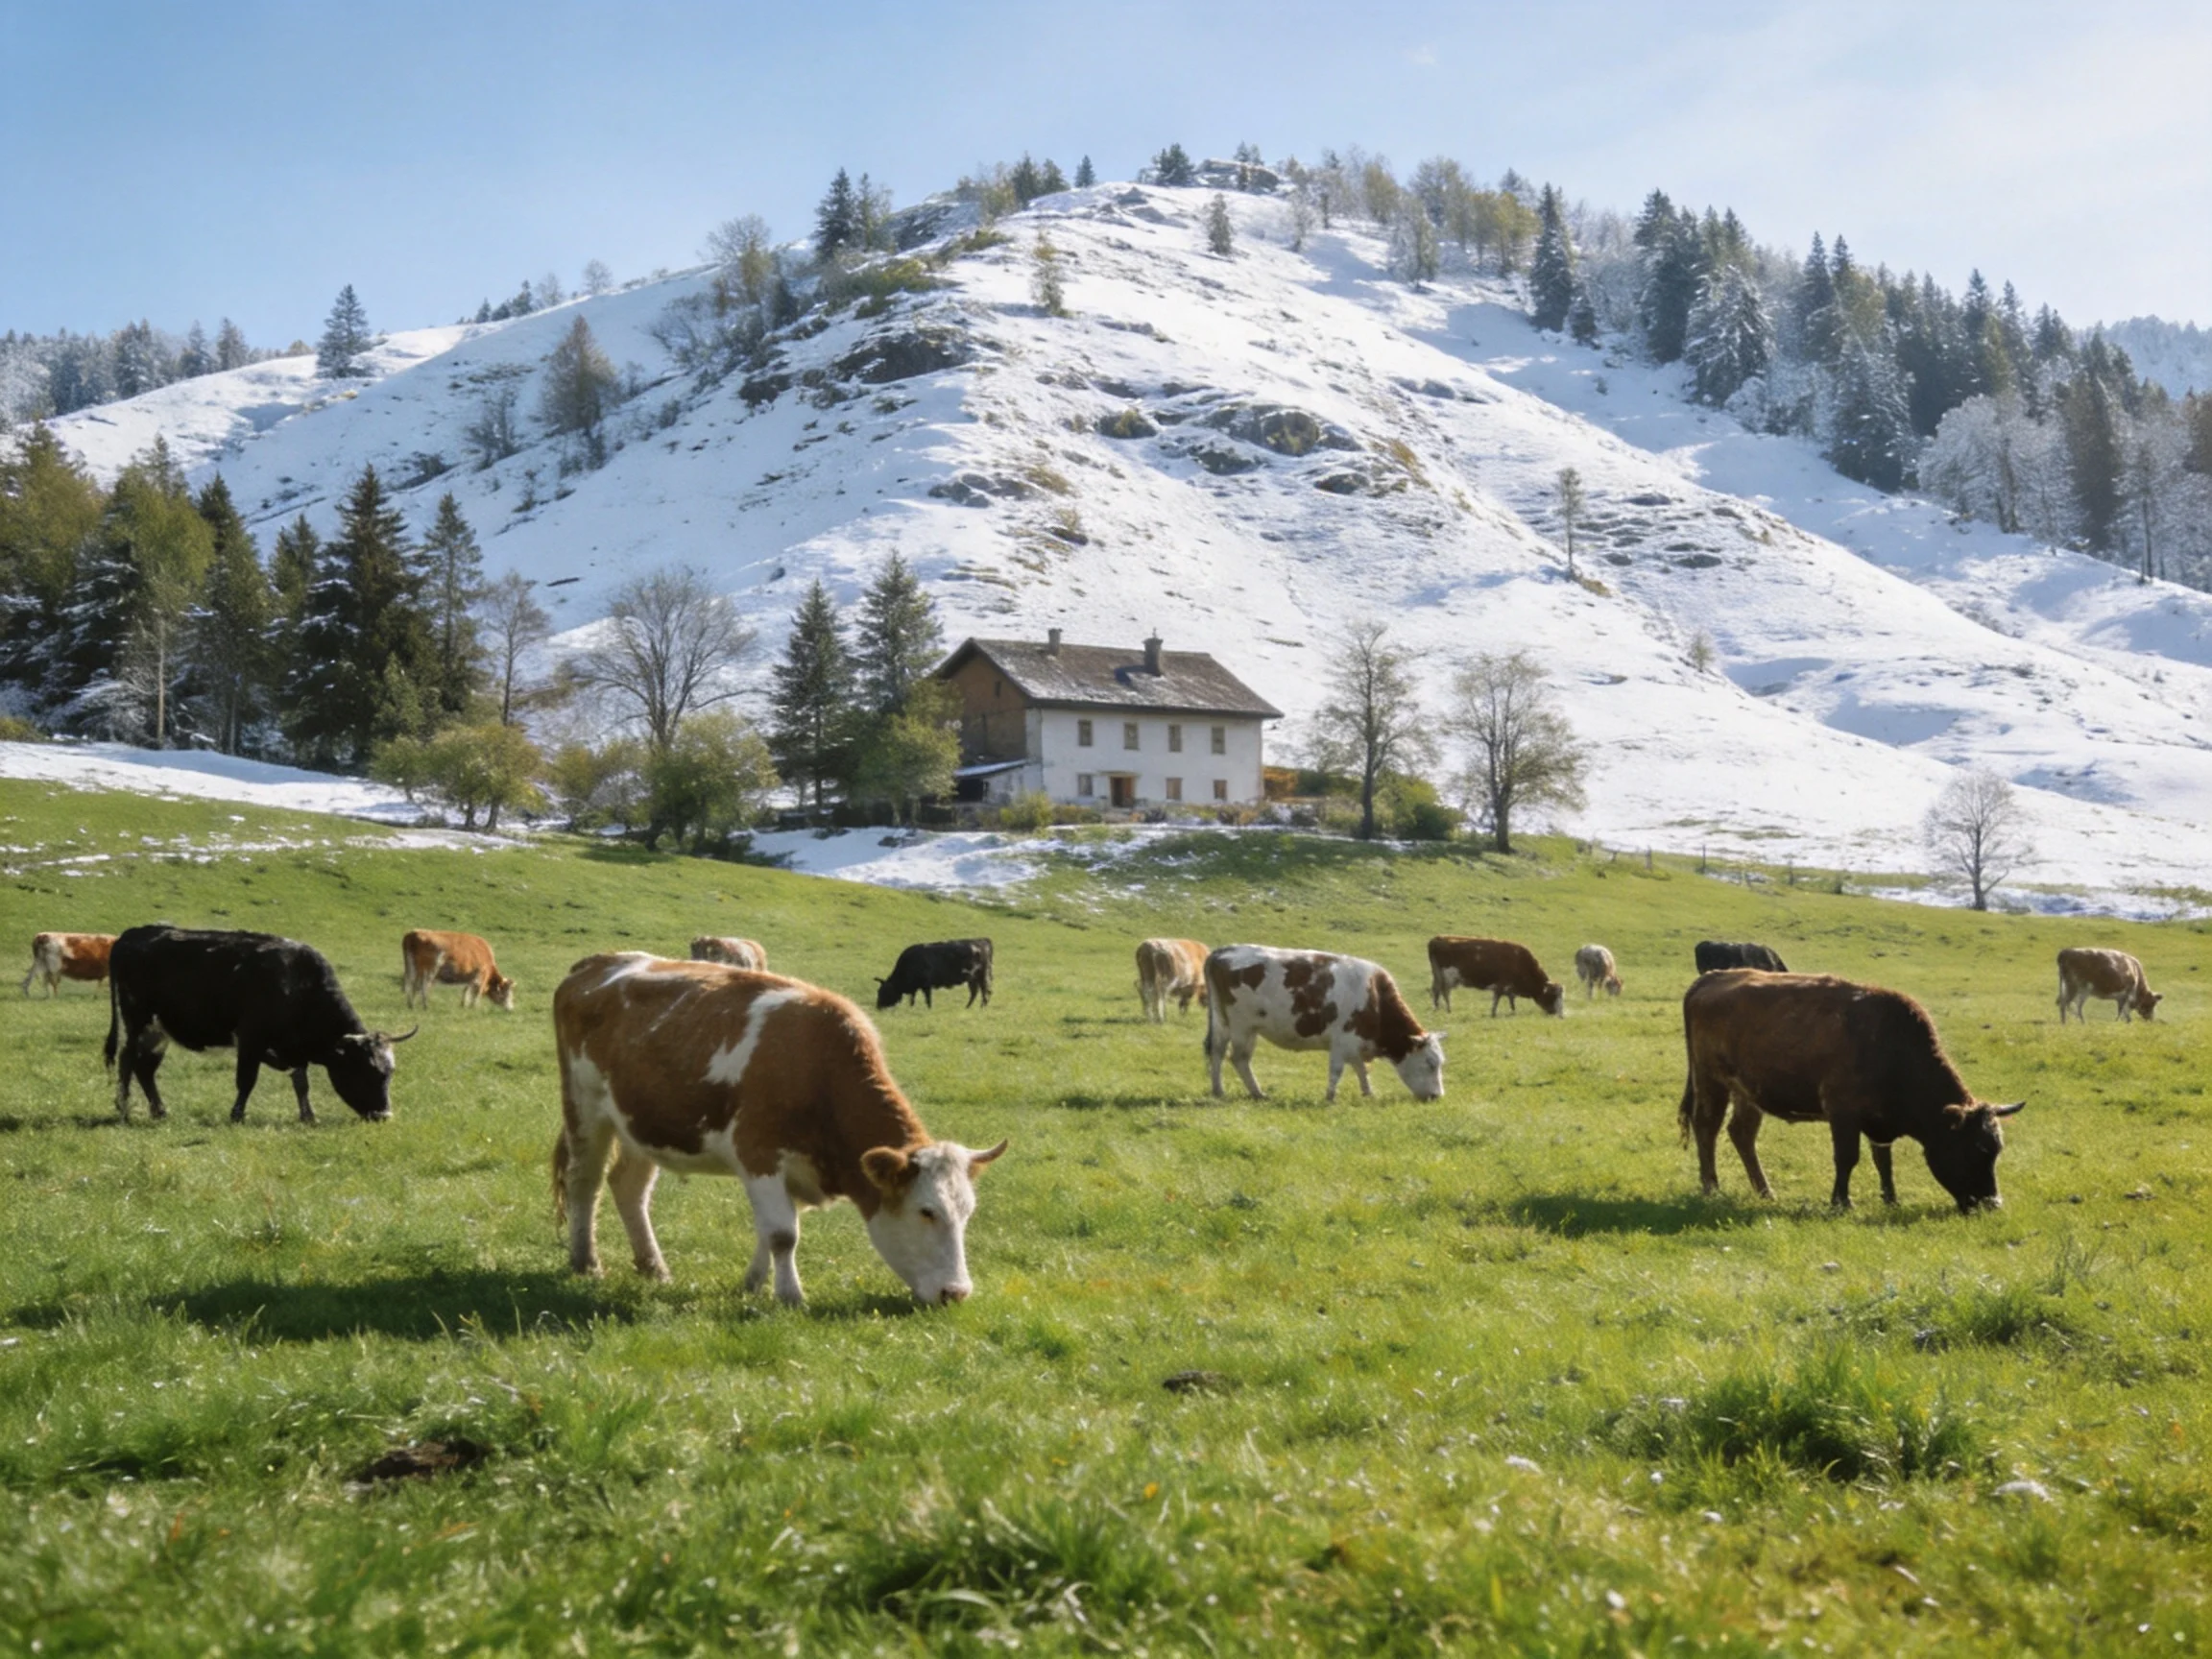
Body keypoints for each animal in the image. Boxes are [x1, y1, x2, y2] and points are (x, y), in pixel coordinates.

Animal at [105, 925, 416, 1124]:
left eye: (389, 1072)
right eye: (362, 1070)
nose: (384, 1116)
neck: (296, 984)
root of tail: (131, 935)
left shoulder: (294, 1049)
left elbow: (301, 1084)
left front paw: (308, 1116)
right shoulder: (250, 1039)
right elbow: (247, 1080)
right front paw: (237, 1115)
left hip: (158, 1031)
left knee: (145, 1068)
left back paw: (159, 1111)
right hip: (137, 1022)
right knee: (127, 1059)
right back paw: (124, 1109)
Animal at [551, 952, 1008, 1305]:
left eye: (968, 1213)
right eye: (926, 1211)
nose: (956, 1293)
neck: (818, 1066)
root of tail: (596, 962)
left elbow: (767, 1232)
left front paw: (753, 1285)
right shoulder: (759, 1154)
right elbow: (783, 1234)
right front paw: (790, 1297)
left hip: (641, 1124)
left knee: (628, 1188)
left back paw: (654, 1268)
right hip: (584, 1109)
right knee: (584, 1182)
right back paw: (586, 1262)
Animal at [1204, 945, 1445, 1102]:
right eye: (1431, 1063)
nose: (1437, 1096)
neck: (1375, 997)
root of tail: (1222, 951)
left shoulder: (1354, 1042)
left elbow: (1361, 1069)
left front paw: (1368, 1093)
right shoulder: (1341, 1041)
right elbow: (1338, 1070)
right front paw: (1330, 1097)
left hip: (1222, 1021)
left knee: (1217, 1051)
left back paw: (1218, 1090)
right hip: (1243, 1027)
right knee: (1239, 1058)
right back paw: (1257, 1093)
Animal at [1427, 936, 1565, 1017]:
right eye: (1554, 996)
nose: (1559, 1014)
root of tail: (1437, 938)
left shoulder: (1509, 987)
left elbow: (1511, 999)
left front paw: (1513, 1011)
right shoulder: (1501, 983)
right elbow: (1497, 999)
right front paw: (1493, 1013)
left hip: (1439, 976)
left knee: (1437, 990)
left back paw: (1439, 1009)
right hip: (1447, 977)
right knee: (1444, 992)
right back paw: (1447, 1010)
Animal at [1679, 969, 2022, 1213]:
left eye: (1996, 1149)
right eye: (1976, 1148)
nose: (1993, 1204)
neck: (1890, 1045)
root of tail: (1712, 977)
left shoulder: (1878, 1124)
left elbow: (1883, 1160)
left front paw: (1891, 1200)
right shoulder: (1843, 1113)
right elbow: (1847, 1157)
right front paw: (1841, 1202)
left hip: (1747, 1092)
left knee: (1741, 1133)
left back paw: (1766, 1192)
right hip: (1711, 1082)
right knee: (1706, 1128)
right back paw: (1711, 1188)